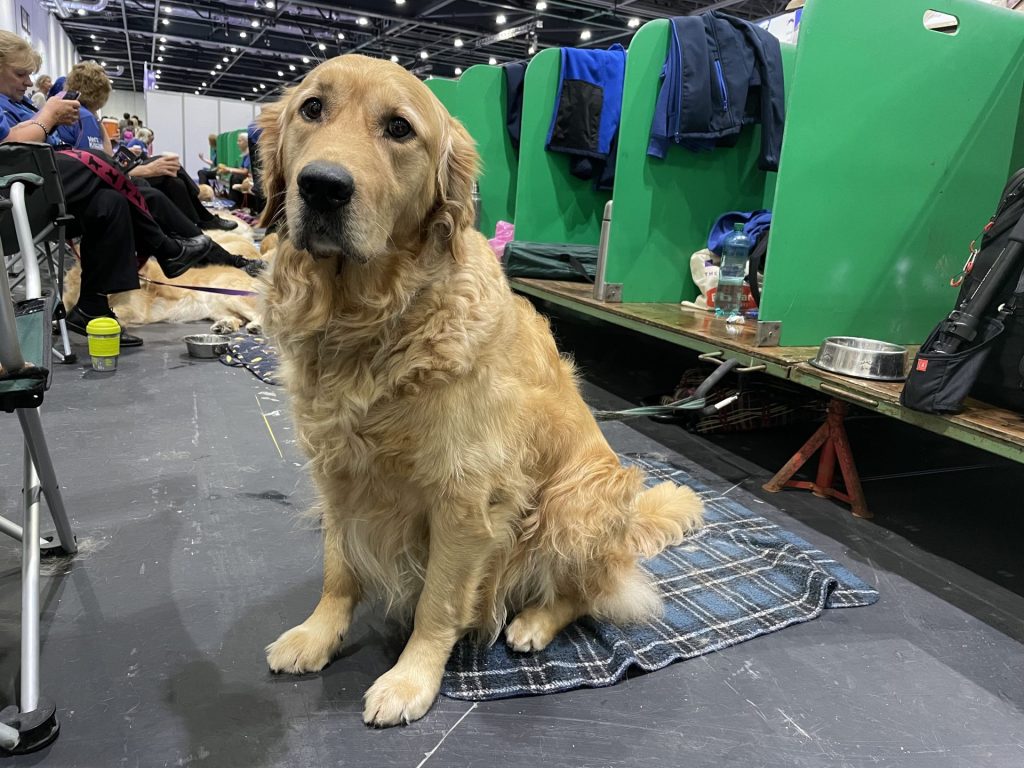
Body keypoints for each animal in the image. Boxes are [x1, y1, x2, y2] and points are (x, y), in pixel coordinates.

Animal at [256, 54, 704, 729]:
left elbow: (437, 603)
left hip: (575, 500)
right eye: (312, 108)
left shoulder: (466, 499)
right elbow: (339, 569)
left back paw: (533, 623)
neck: (367, 323)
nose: (323, 186)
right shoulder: (338, 471)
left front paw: (411, 678)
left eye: (399, 128)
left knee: (590, 591)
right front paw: (317, 634)